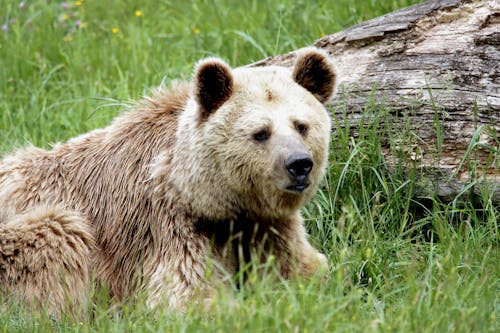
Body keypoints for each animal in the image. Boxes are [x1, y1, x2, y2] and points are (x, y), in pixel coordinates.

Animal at [0, 47, 338, 316]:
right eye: (261, 133)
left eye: (302, 126)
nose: (299, 165)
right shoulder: (166, 224)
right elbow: (187, 293)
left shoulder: (267, 225)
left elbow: (306, 266)